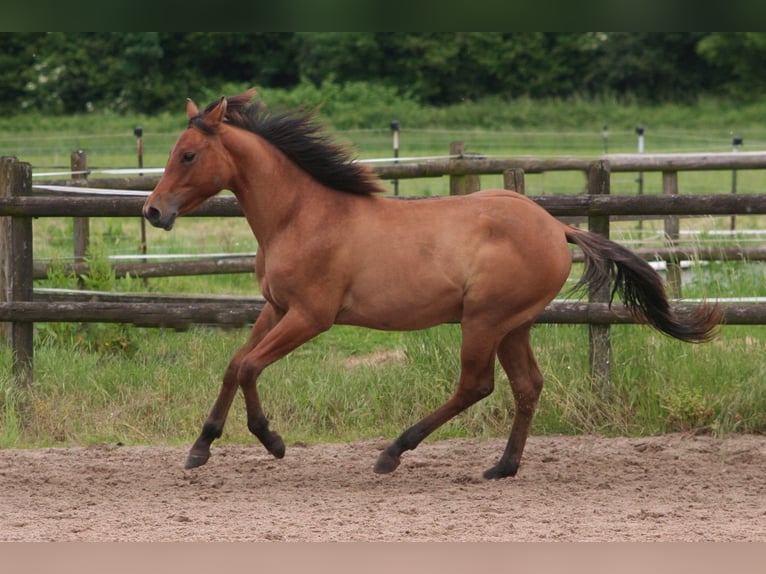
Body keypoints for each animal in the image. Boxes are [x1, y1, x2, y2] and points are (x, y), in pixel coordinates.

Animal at [144, 91, 728, 482]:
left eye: (189, 154)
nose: (153, 212)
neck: (302, 216)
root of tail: (554, 226)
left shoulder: (310, 316)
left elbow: (248, 367)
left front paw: (273, 441)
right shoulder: (274, 308)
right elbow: (234, 365)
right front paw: (201, 447)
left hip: (484, 320)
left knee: (476, 385)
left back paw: (393, 453)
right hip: (514, 325)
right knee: (527, 385)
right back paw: (502, 467)